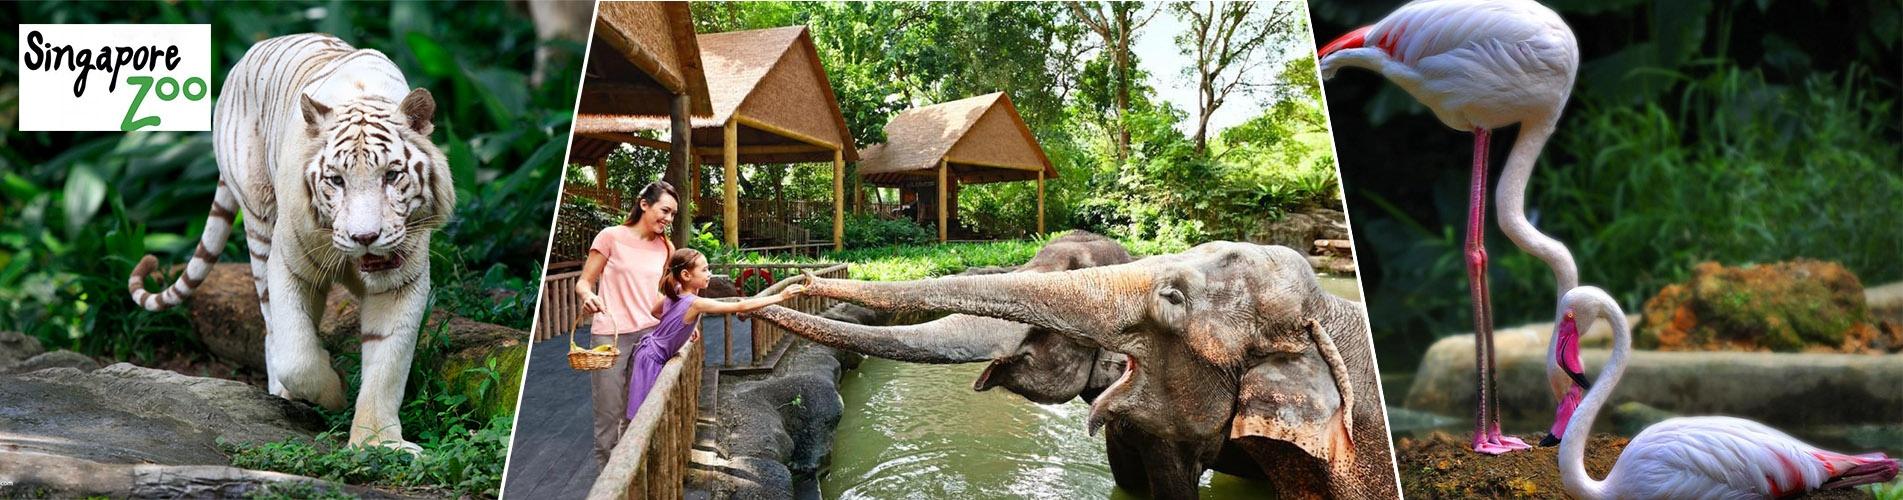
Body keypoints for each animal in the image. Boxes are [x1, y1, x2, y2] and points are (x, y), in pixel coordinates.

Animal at [129, 32, 452, 454]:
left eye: (392, 175)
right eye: (336, 180)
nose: (365, 238)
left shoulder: (402, 281)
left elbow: (387, 364)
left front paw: (377, 443)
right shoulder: (289, 264)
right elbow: (297, 355)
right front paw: (334, 392)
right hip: (259, 225)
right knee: (272, 327)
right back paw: (282, 393)